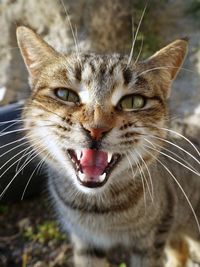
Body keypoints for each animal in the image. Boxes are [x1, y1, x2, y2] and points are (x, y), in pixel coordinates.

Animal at [16, 25, 200, 267]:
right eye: (65, 94)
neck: (100, 210)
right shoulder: (85, 242)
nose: (96, 128)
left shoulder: (152, 239)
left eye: (133, 101)